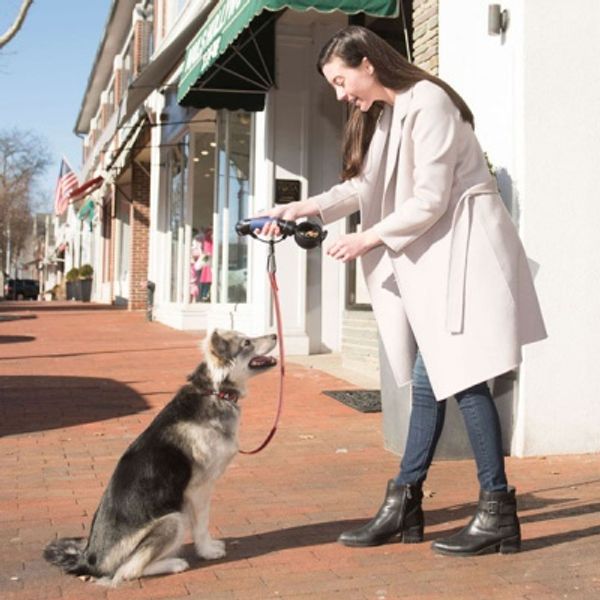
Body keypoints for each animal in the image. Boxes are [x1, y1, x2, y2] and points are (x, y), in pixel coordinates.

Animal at [43, 330, 278, 584]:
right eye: (247, 343)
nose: (276, 334)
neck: (215, 391)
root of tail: (89, 560)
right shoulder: (199, 490)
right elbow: (202, 525)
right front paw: (207, 551)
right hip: (173, 519)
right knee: (127, 571)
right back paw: (174, 563)